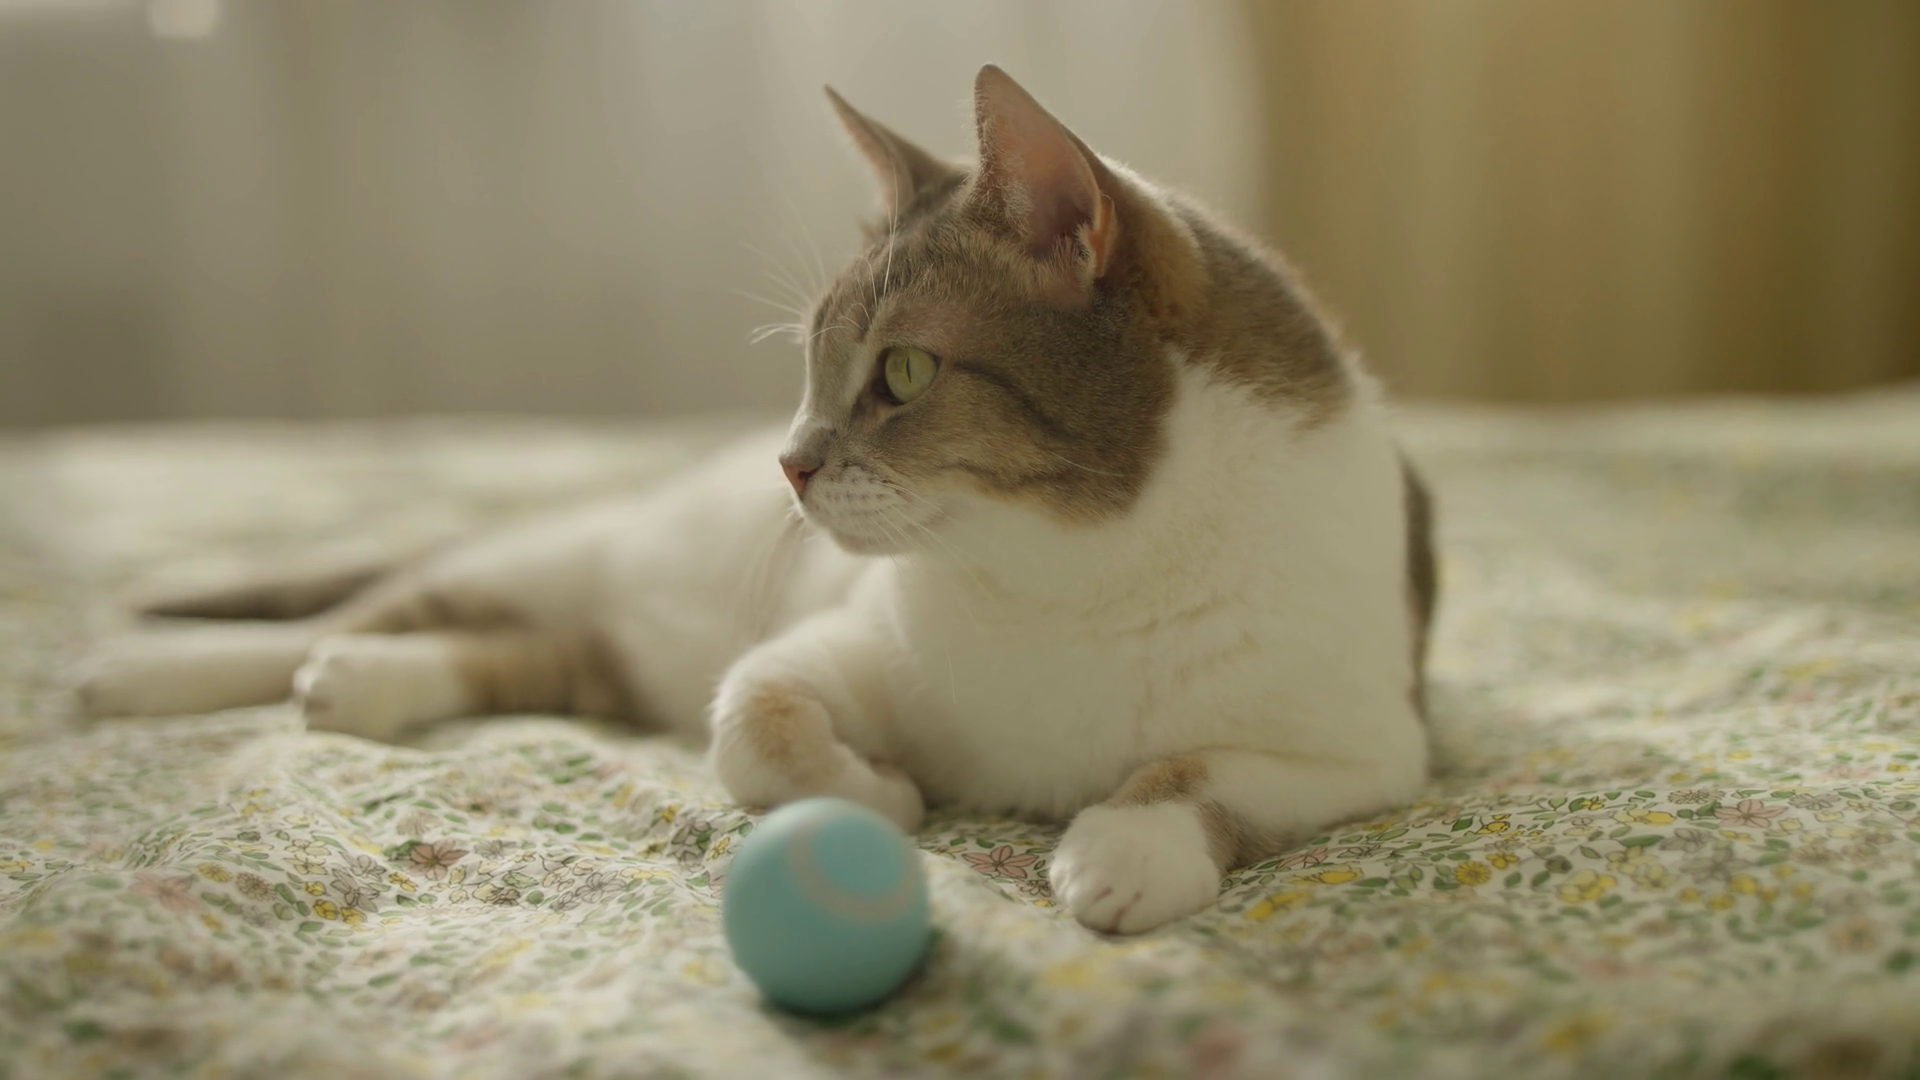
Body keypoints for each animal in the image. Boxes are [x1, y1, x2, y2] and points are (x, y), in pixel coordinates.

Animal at [78, 65, 1437, 934]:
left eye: (901, 373)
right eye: (811, 369)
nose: (786, 462)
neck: (1077, 577)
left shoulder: (1372, 749)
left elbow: (1201, 769)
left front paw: (1126, 847)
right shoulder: (832, 645)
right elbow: (759, 721)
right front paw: (880, 792)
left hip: (601, 661)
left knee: (506, 654)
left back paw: (363, 686)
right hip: (549, 562)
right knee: (360, 611)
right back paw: (149, 675)